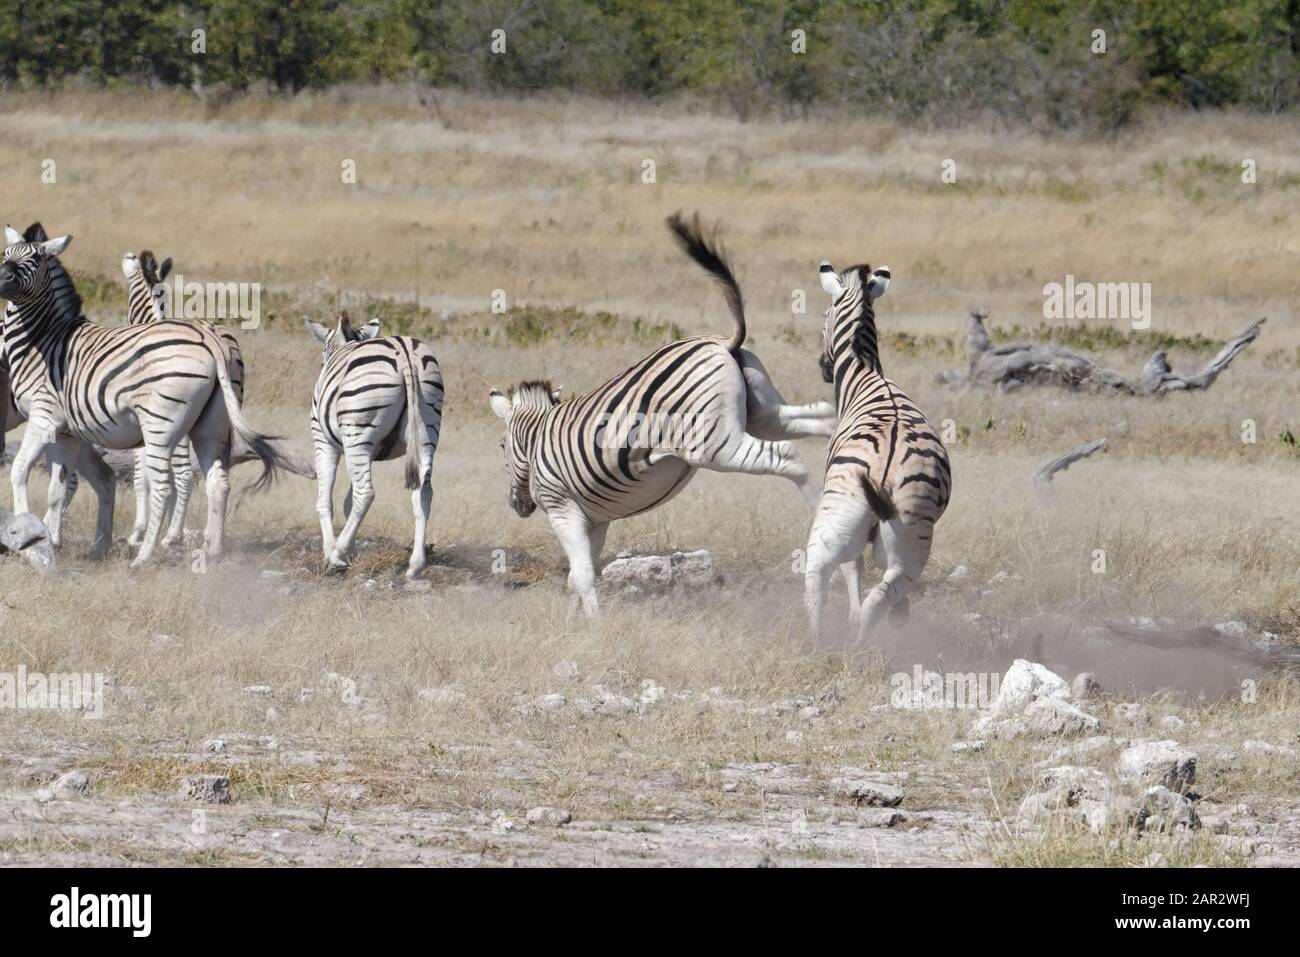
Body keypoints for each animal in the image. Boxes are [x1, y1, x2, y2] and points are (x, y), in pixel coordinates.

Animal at [0, 227, 289, 564]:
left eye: (35, 259)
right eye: (6, 255)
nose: (2, 278)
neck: (43, 341)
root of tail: (211, 339)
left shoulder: (44, 418)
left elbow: (20, 471)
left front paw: (25, 537)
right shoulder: (66, 432)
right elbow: (57, 490)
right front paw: (46, 540)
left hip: (160, 425)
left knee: (163, 485)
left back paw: (145, 555)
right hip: (209, 427)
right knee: (217, 482)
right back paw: (212, 552)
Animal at [305, 312, 444, 574]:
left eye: (322, 353)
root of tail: (404, 352)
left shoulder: (323, 441)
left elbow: (325, 500)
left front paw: (334, 551)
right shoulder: (367, 450)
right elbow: (347, 502)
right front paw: (351, 552)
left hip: (357, 434)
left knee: (366, 494)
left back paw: (335, 556)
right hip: (427, 431)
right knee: (423, 492)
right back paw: (416, 564)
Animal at [488, 210, 832, 613]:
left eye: (501, 447)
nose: (516, 504)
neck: (537, 438)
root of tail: (724, 342)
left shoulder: (563, 509)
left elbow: (584, 573)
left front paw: (595, 623)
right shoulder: (596, 518)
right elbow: (580, 573)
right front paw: (576, 616)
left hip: (715, 445)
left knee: (788, 456)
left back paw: (823, 512)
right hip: (765, 414)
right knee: (821, 415)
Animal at [806, 261, 951, 639]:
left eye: (824, 314)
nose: (823, 367)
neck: (866, 372)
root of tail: (885, 470)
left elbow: (852, 570)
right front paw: (899, 618)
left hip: (835, 518)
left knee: (819, 580)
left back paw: (819, 641)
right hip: (911, 538)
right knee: (883, 595)